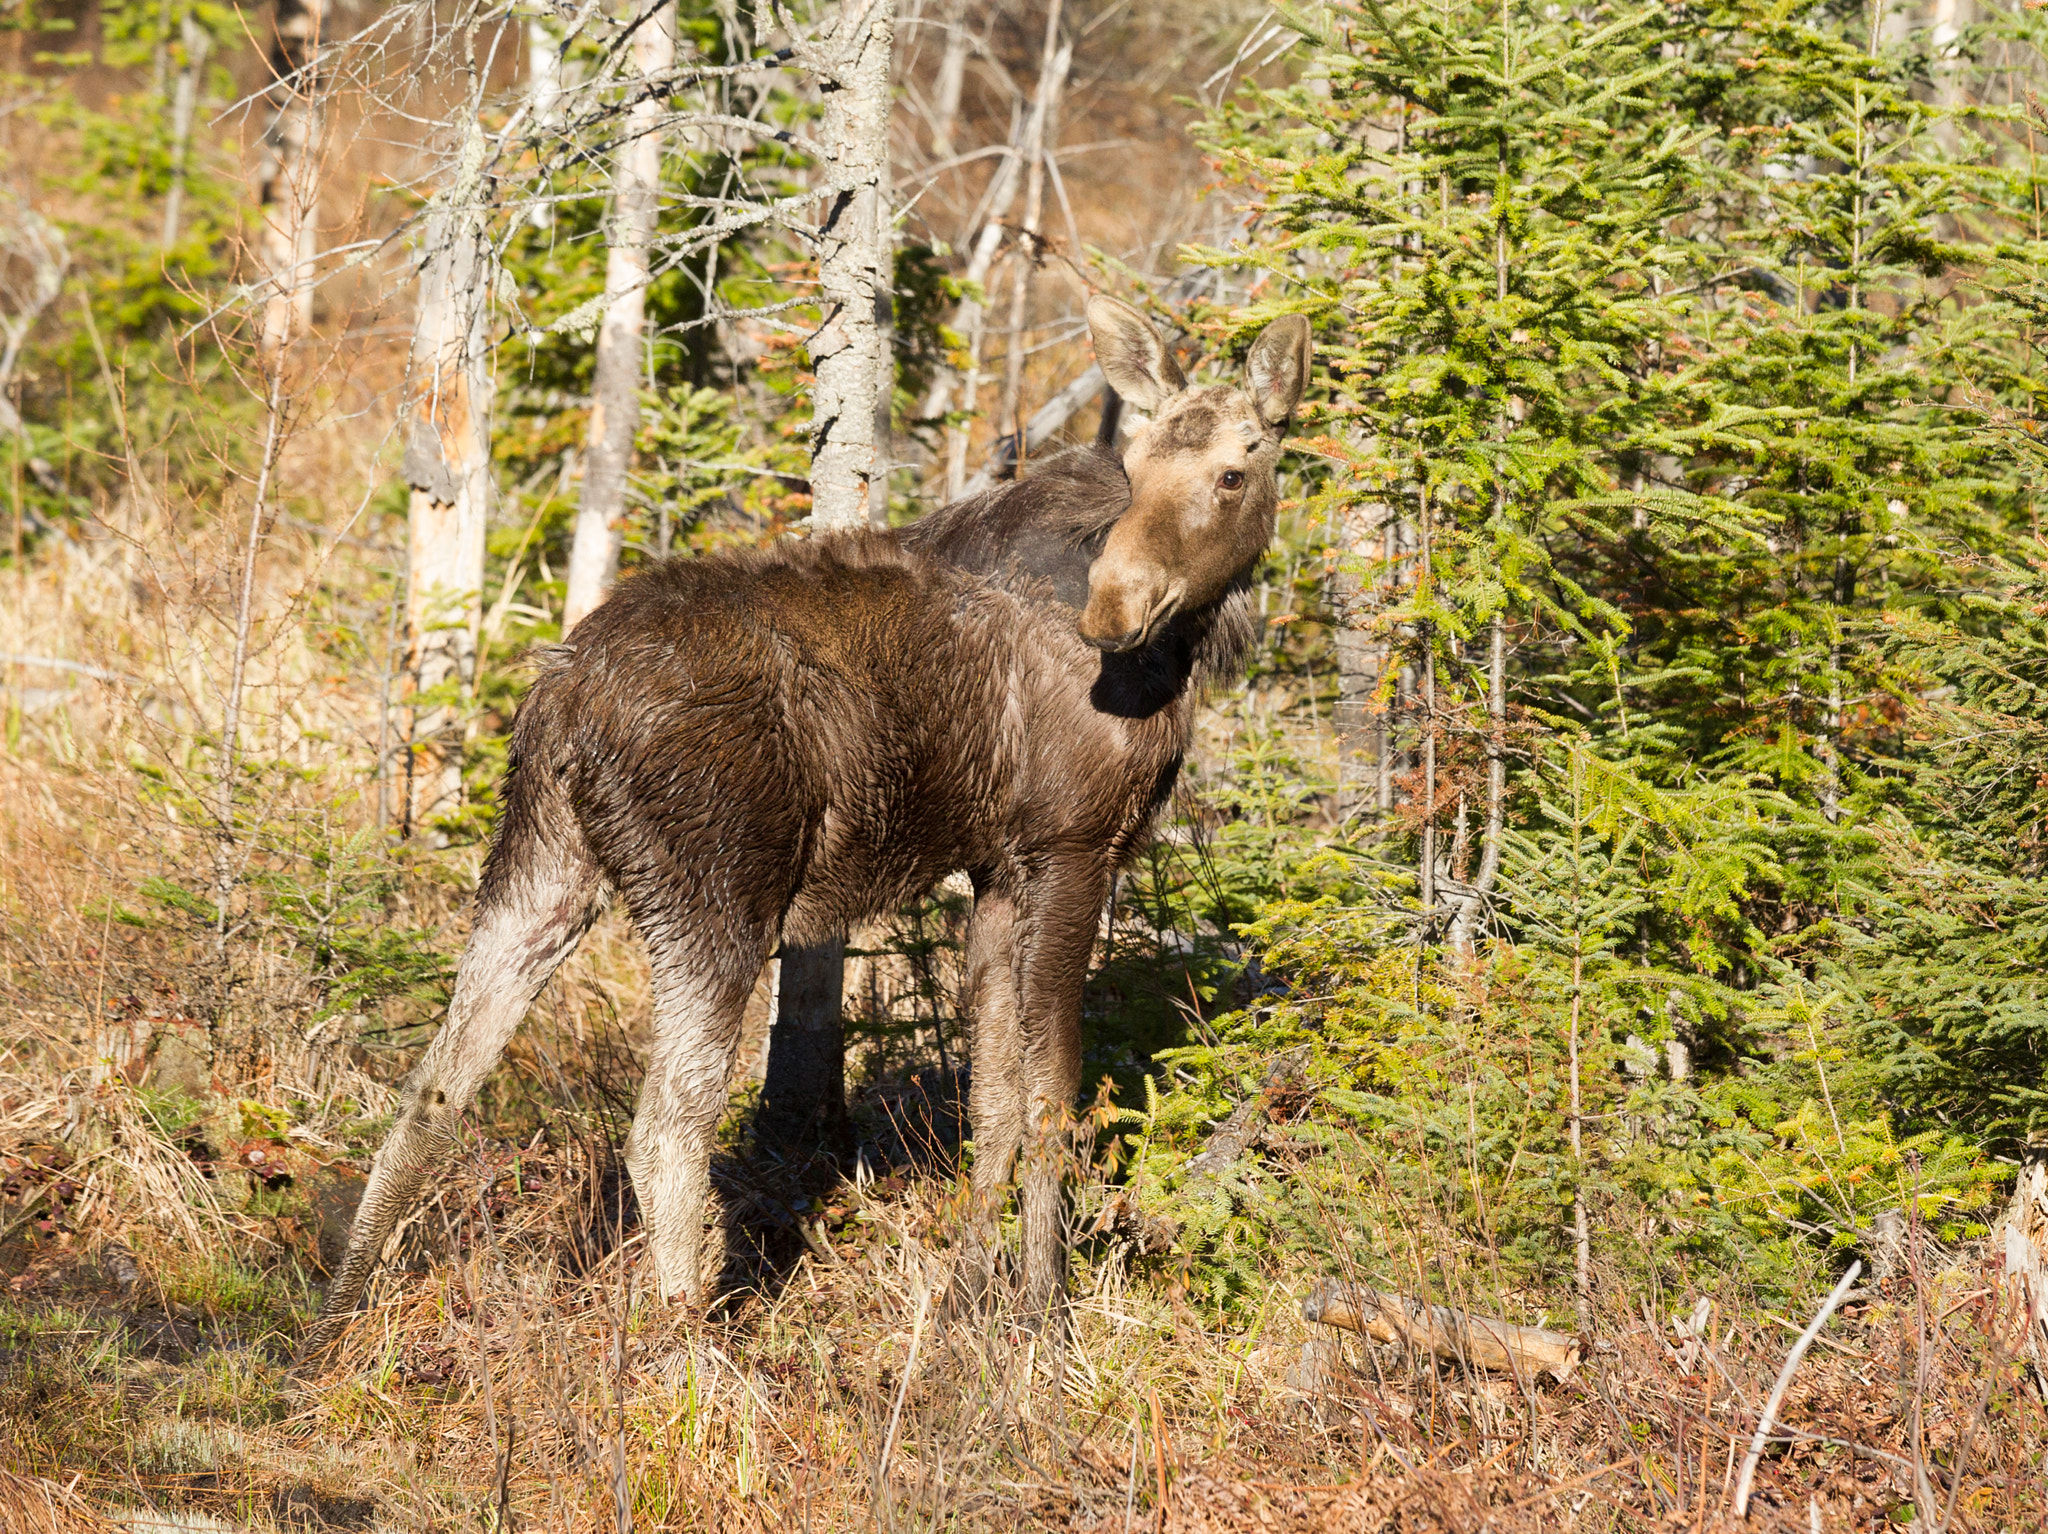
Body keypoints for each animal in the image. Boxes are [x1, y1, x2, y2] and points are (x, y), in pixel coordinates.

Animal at [302, 298, 1310, 1353]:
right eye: (1139, 467)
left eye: (1232, 472)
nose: (1114, 609)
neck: (1183, 649)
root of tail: (567, 701)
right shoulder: (1071, 848)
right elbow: (1050, 1095)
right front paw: (1041, 1315)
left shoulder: (1000, 867)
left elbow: (993, 1097)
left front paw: (967, 1301)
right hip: (718, 892)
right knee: (666, 1126)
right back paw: (693, 1349)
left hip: (541, 864)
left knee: (433, 1089)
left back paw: (330, 1330)